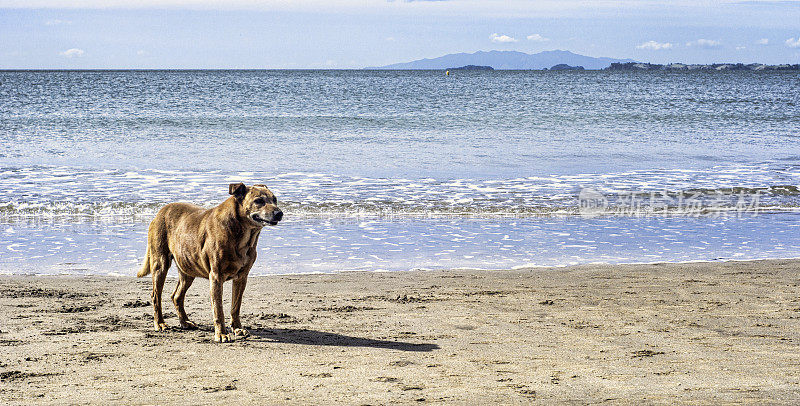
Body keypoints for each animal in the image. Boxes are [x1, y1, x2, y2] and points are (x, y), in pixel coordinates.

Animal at [139, 183, 282, 342]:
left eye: (275, 199)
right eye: (259, 201)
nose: (279, 213)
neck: (243, 234)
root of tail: (160, 211)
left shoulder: (241, 278)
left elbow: (235, 307)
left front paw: (237, 328)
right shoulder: (216, 277)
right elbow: (218, 310)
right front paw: (221, 333)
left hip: (187, 269)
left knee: (176, 296)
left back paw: (185, 321)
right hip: (160, 264)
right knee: (155, 295)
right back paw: (160, 323)